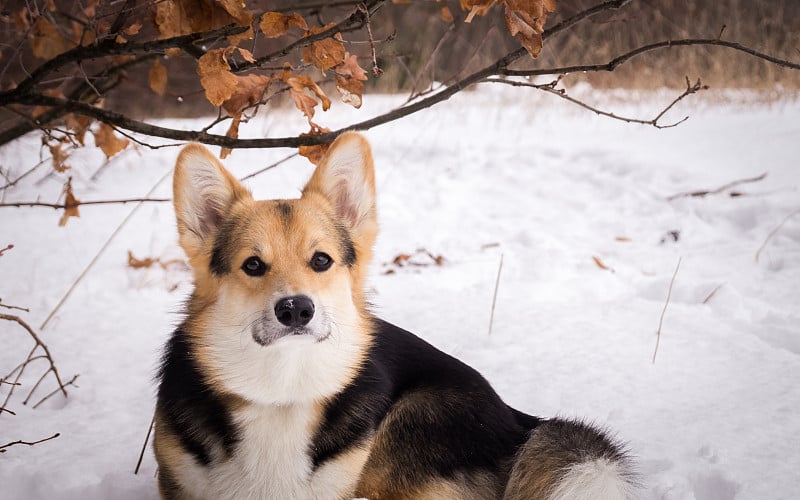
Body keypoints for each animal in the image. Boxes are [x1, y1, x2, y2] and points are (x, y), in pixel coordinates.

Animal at [153, 133, 636, 500]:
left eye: (321, 261)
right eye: (253, 265)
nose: (296, 309)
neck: (282, 389)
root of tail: (520, 422)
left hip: (413, 418)